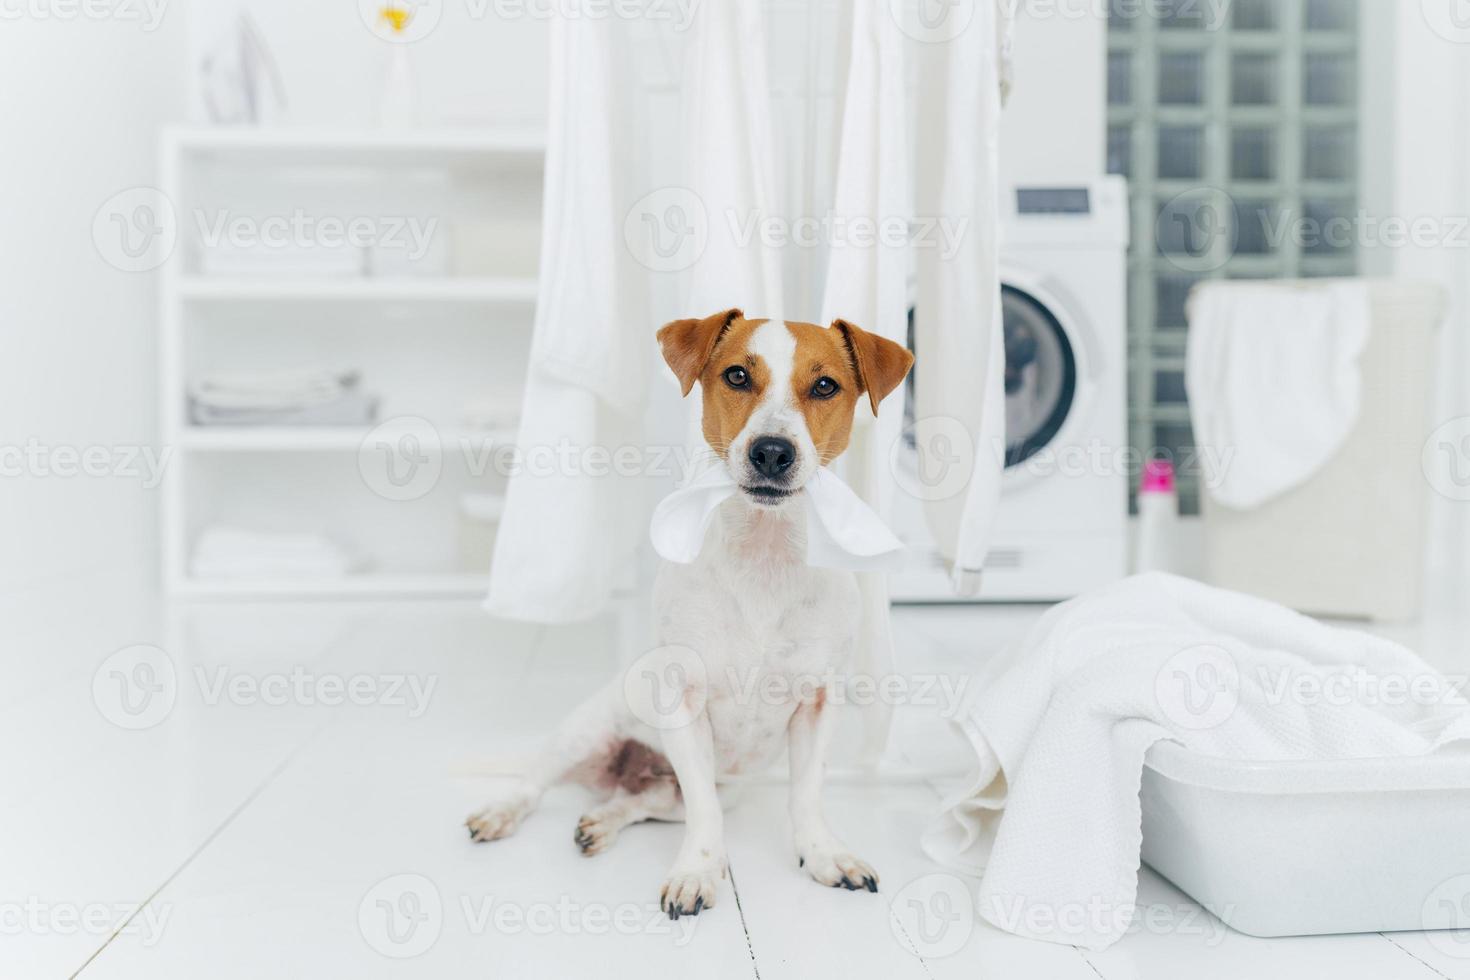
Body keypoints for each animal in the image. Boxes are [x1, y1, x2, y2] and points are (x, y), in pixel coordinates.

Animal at [464, 308, 911, 922]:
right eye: (737, 376)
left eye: (825, 385)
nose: (773, 451)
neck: (764, 553)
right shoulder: (683, 704)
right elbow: (706, 813)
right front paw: (698, 871)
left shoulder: (818, 704)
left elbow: (807, 794)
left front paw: (823, 853)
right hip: (585, 732)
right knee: (534, 782)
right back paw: (502, 811)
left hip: (712, 785)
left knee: (641, 800)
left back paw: (600, 822)